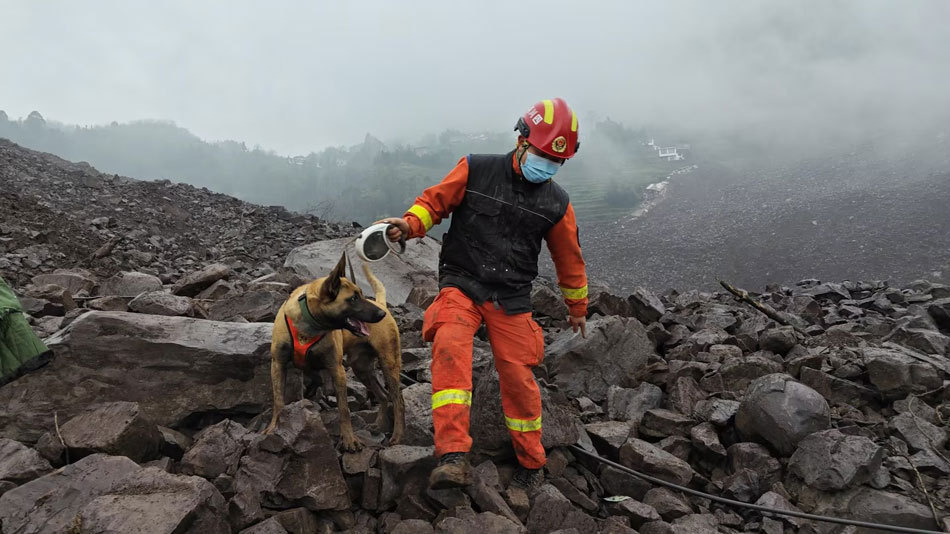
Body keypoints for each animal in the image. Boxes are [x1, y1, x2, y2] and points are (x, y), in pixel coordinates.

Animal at [264, 253, 406, 454]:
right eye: (353, 299)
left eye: (361, 294)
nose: (381, 315)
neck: (309, 326)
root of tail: (381, 303)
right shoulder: (278, 364)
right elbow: (278, 400)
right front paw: (273, 427)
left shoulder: (336, 369)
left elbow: (344, 409)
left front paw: (349, 440)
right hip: (362, 369)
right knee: (383, 395)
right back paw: (379, 425)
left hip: (389, 363)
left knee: (397, 400)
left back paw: (397, 436)